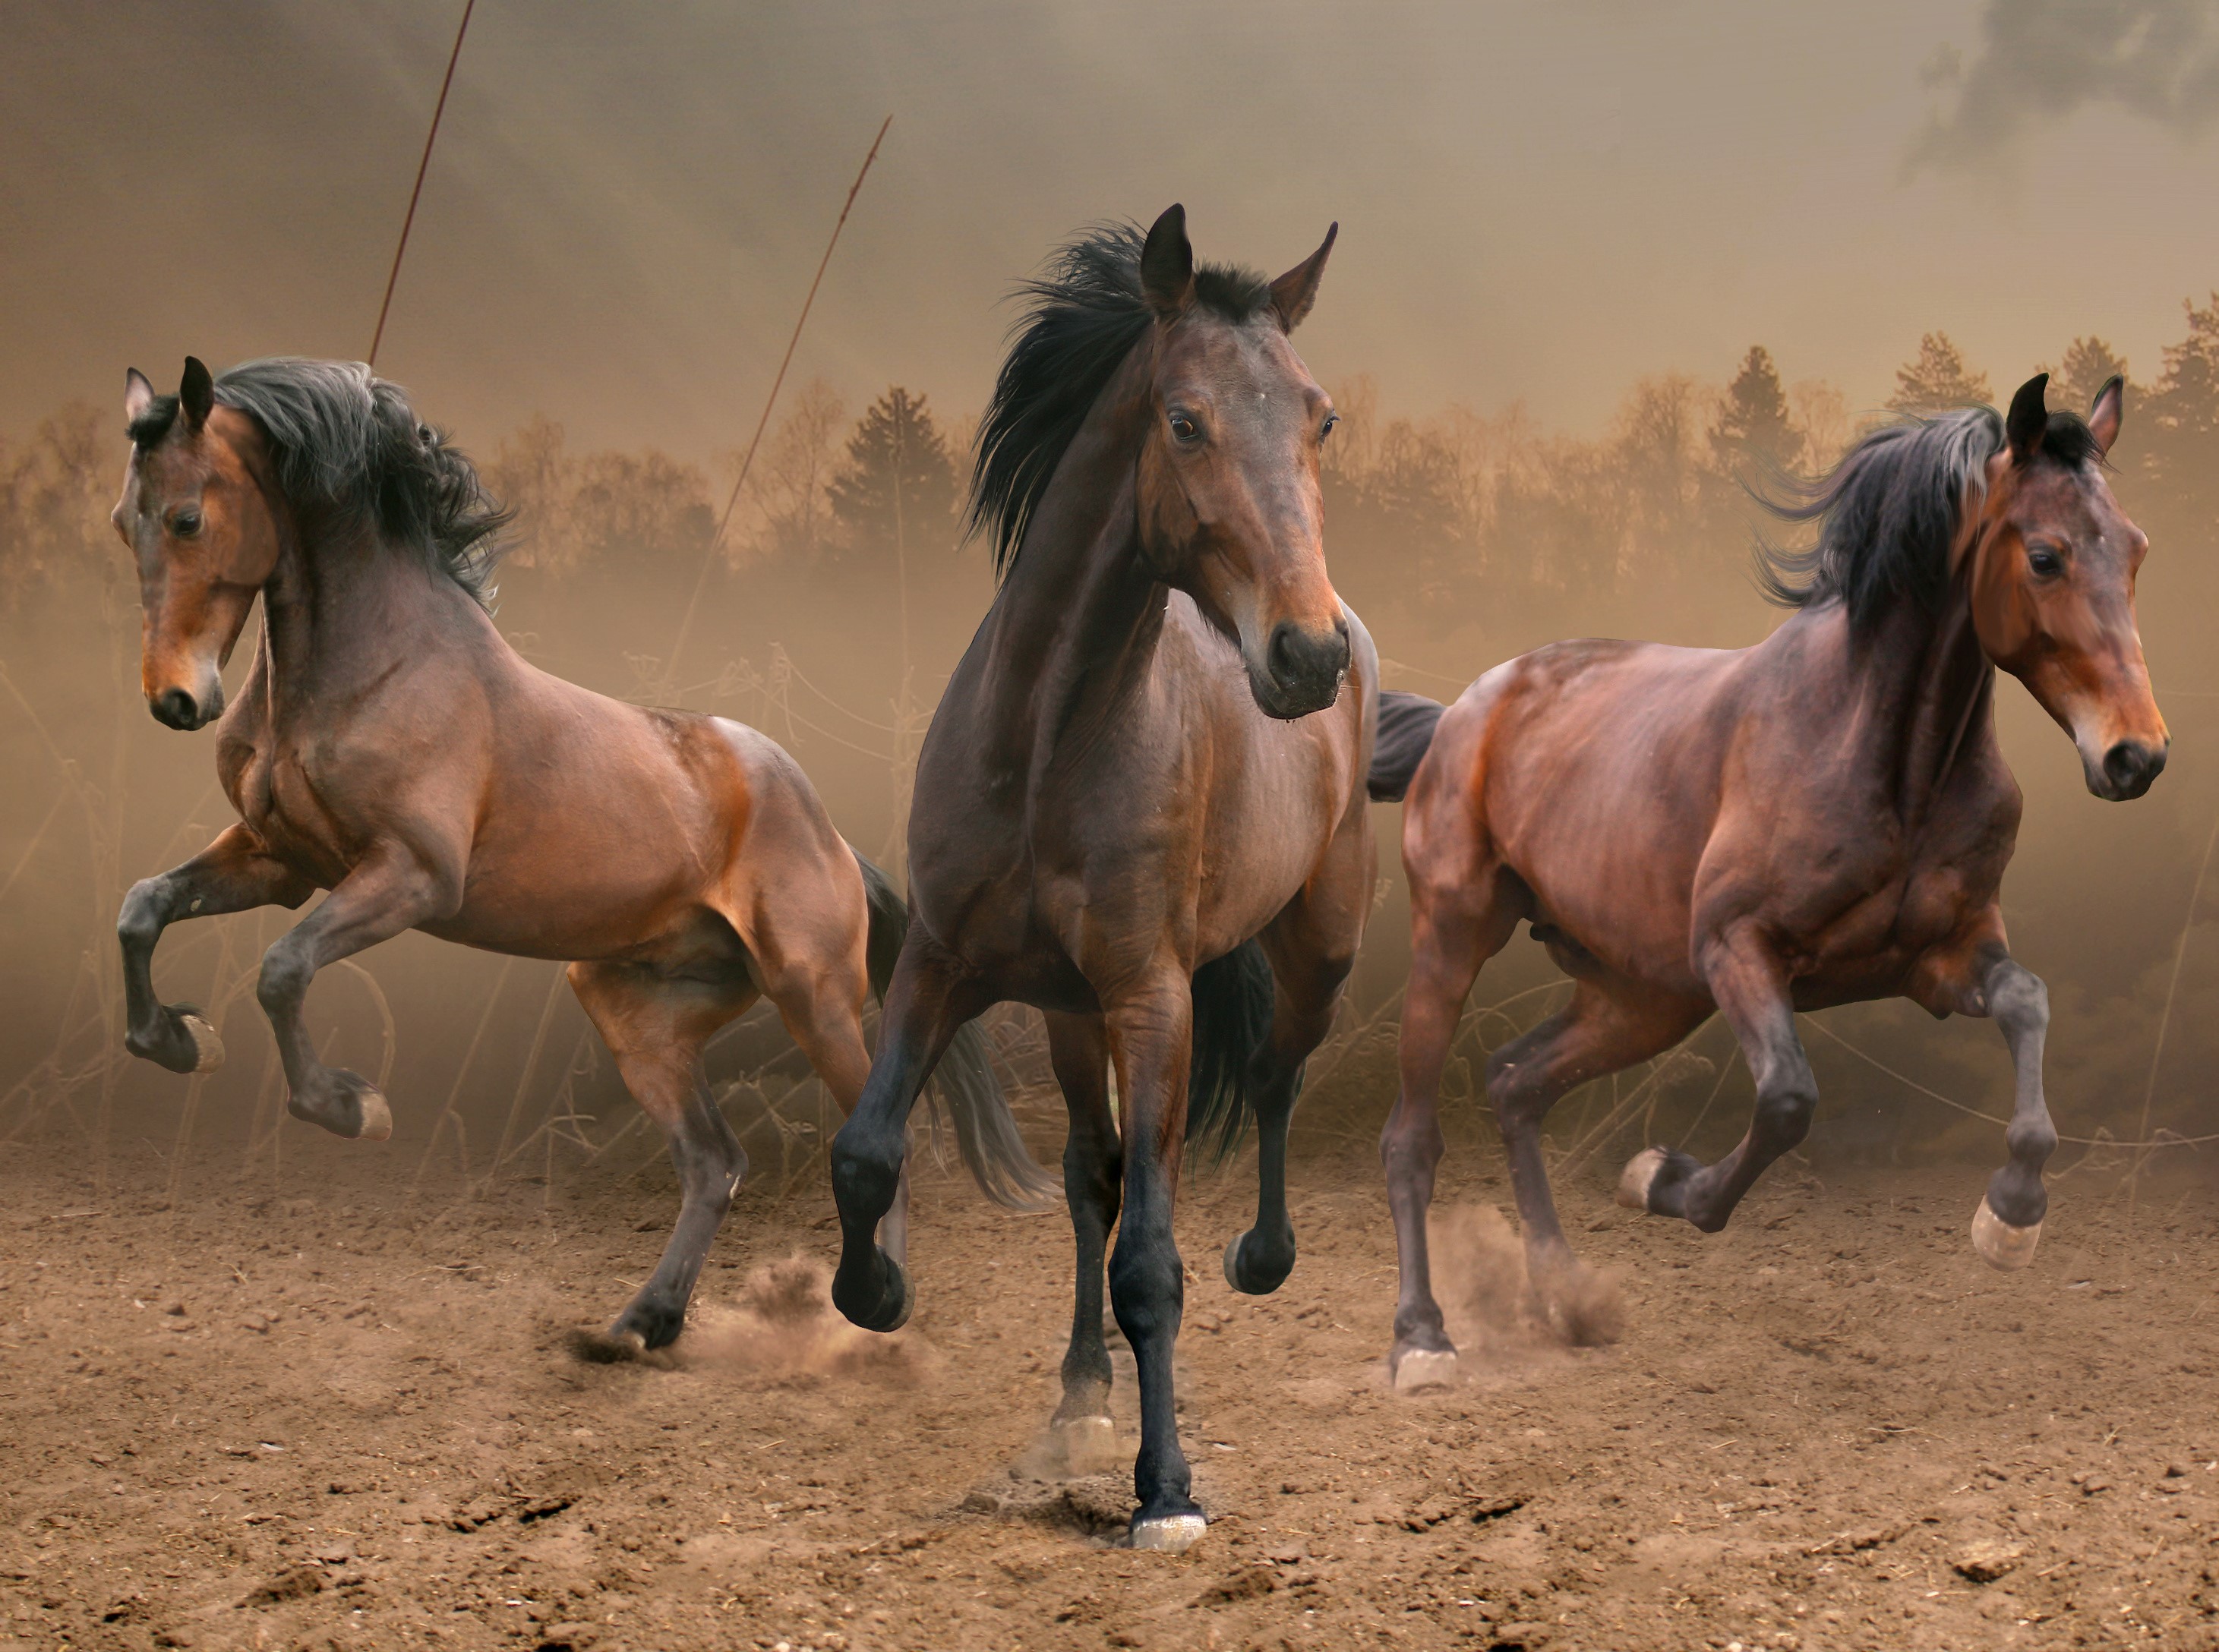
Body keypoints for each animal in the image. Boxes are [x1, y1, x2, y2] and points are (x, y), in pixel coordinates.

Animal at [108, 356, 1052, 1354]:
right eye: (124, 520)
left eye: (188, 518)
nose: (177, 700)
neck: (376, 668)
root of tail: (832, 836)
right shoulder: (283, 862)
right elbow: (143, 908)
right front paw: (178, 1041)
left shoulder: (411, 876)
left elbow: (282, 969)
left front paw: (351, 1107)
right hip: (634, 1009)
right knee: (714, 1161)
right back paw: (644, 1322)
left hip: (814, 995)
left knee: (873, 1141)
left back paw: (876, 1304)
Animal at [821, 206, 1370, 1550]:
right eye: (1183, 419)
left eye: (1320, 418)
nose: (1306, 653)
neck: (1043, 746)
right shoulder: (942, 963)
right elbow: (868, 1151)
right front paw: (879, 1293)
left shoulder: (1151, 998)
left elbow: (1152, 1266)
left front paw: (1165, 1491)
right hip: (1069, 1017)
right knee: (1092, 1174)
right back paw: (1078, 1395)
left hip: (1315, 947)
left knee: (1273, 1075)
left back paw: (1262, 1259)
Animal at [1366, 373, 2166, 1390]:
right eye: (2046, 555)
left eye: (2135, 548)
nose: (2136, 755)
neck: (1884, 760)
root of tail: (1464, 713)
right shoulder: (1739, 950)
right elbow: (1788, 1100)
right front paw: (1665, 1179)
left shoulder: (1941, 959)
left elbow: (2028, 1002)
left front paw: (2010, 1218)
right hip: (1456, 935)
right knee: (1412, 1136)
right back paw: (1423, 1340)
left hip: (1642, 997)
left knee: (1515, 1085)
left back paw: (1567, 1298)